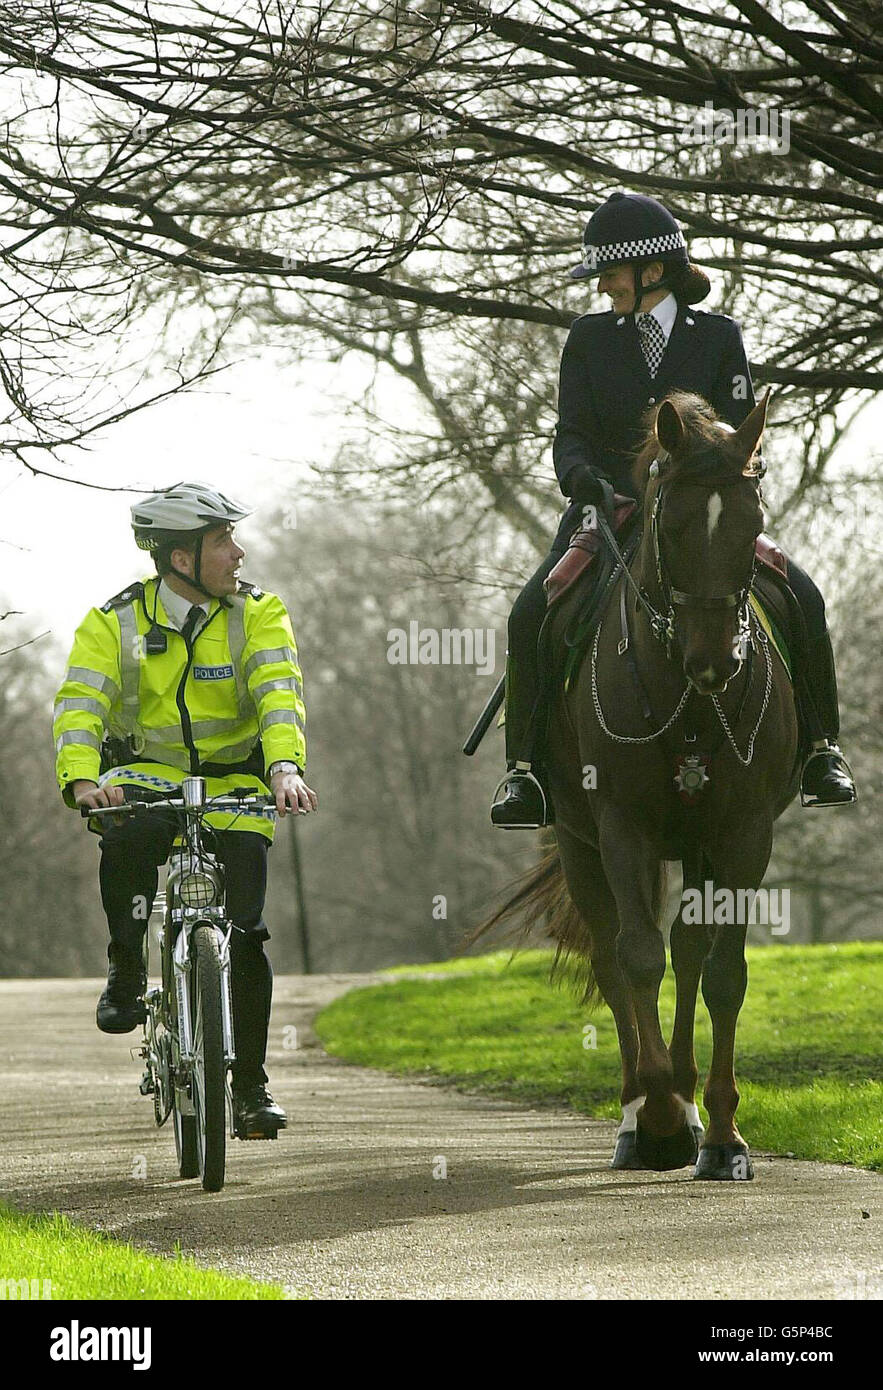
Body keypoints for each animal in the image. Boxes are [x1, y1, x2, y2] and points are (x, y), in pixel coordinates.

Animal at [486, 386, 795, 1178]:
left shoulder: (743, 835)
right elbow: (636, 957)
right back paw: (639, 1114)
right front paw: (656, 1117)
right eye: (674, 523)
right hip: (577, 840)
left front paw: (721, 1134)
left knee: (688, 951)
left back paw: (689, 1105)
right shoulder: (623, 829)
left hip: (695, 844)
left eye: (751, 521)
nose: (714, 660)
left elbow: (722, 972)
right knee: (609, 954)